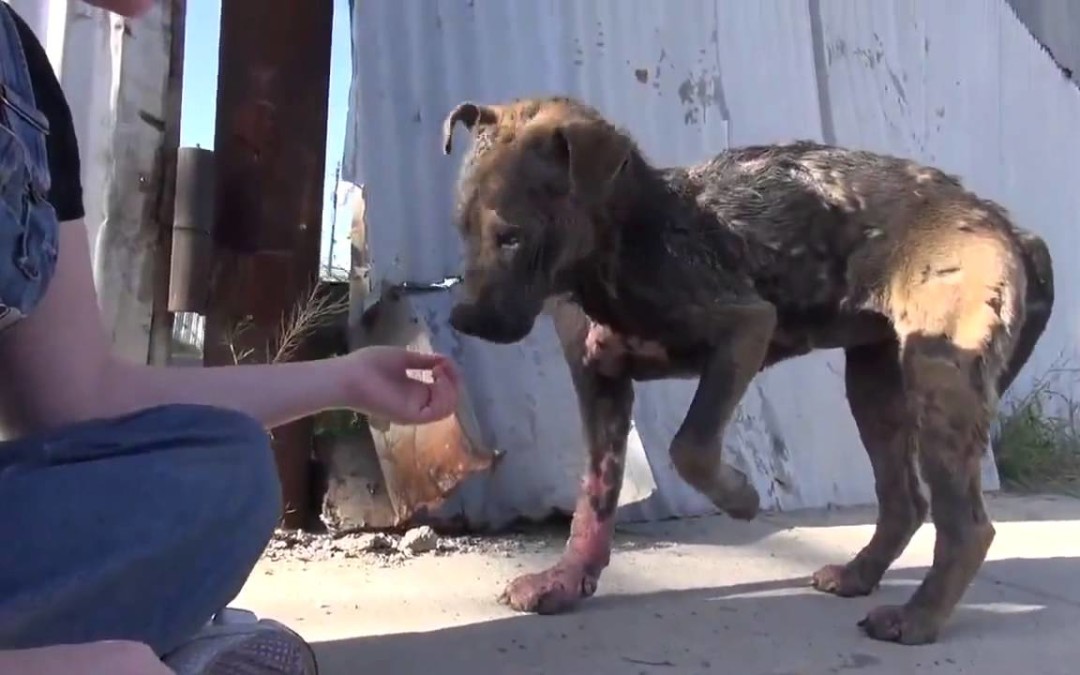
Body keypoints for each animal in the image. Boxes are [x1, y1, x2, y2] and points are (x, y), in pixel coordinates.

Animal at [438, 95, 1054, 643]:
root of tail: (1002, 221)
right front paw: (567, 581)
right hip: (875, 383)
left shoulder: (745, 328)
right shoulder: (601, 387)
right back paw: (860, 575)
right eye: (461, 229)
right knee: (905, 501)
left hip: (937, 374)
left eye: (512, 236)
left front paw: (740, 497)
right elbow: (594, 499)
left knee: (965, 525)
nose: (461, 318)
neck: (623, 243)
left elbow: (690, 445)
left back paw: (918, 618)